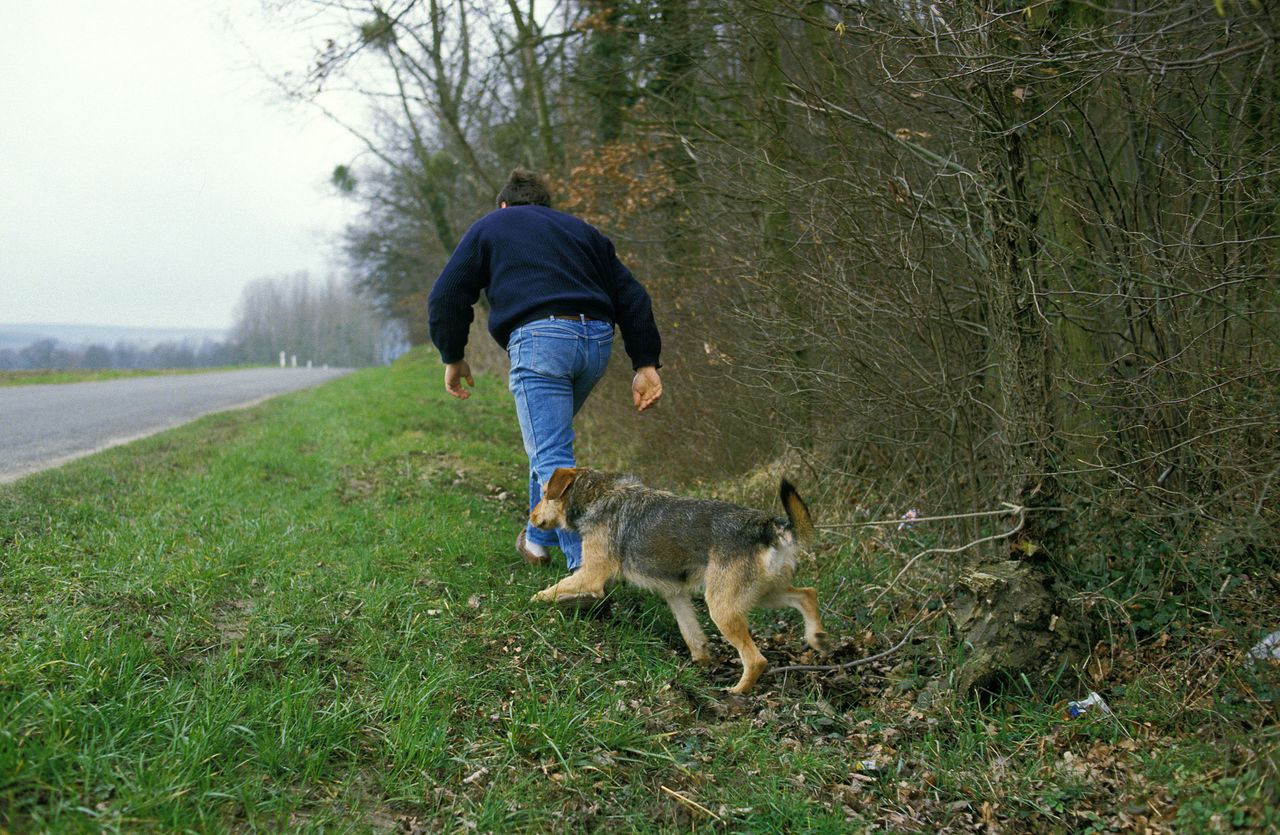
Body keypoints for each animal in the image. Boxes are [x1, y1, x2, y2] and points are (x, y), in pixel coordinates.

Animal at [529, 466, 829, 696]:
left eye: (544, 494)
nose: (530, 517)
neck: (599, 494)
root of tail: (768, 526)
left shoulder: (591, 575)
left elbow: (552, 589)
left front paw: (532, 602)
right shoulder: (675, 594)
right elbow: (691, 633)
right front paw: (701, 663)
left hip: (723, 607)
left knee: (757, 659)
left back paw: (738, 691)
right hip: (763, 595)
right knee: (808, 593)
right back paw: (816, 636)